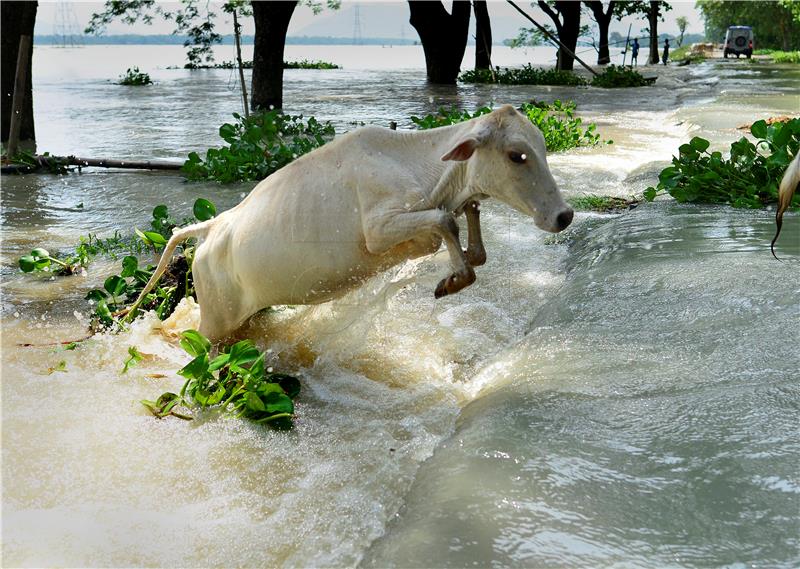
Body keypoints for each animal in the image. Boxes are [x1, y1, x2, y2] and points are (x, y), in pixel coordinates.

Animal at [128, 104, 572, 340]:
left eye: (541, 146)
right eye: (517, 155)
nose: (564, 215)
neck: (421, 167)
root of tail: (212, 228)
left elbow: (468, 221)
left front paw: (460, 268)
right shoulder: (379, 230)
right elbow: (447, 221)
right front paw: (454, 280)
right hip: (214, 322)